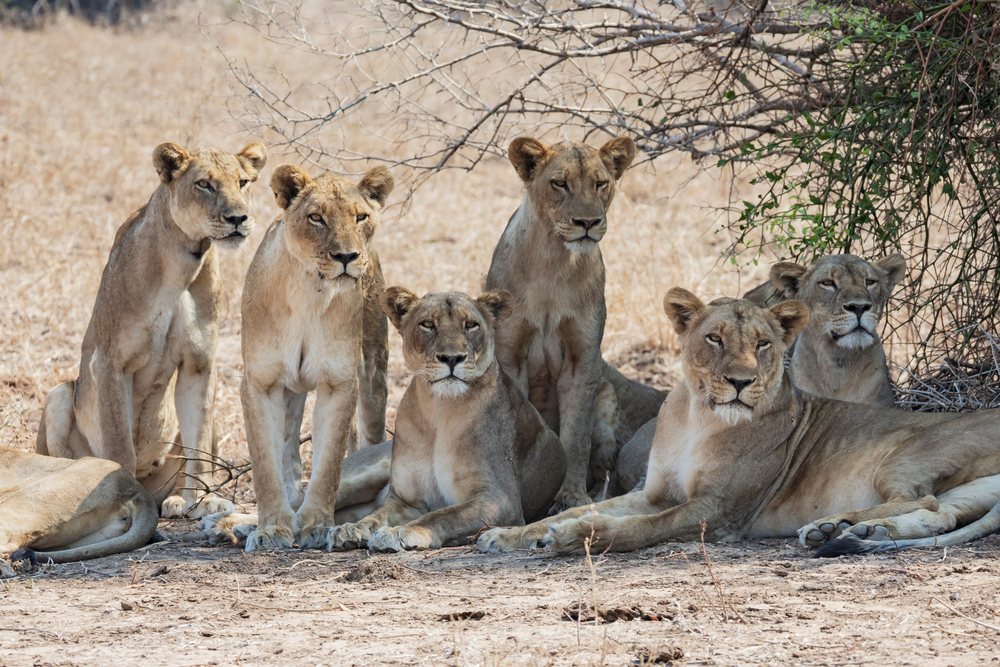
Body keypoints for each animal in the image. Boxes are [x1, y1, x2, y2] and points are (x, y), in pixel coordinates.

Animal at [36, 141, 267, 518]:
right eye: (205, 184)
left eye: (244, 182)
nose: (238, 218)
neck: (183, 260)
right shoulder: (110, 362)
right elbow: (119, 446)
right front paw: (122, 498)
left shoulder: (199, 364)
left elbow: (198, 442)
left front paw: (200, 501)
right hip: (58, 395)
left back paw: (174, 501)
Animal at [238, 163, 392, 551]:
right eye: (316, 218)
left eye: (360, 217)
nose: (347, 258)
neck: (311, 290)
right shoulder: (260, 383)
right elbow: (265, 463)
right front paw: (272, 528)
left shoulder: (339, 382)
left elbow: (328, 464)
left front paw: (316, 526)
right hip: (289, 390)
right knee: (288, 450)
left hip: (374, 371)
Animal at [323, 287, 566, 552]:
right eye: (428, 324)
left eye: (470, 325)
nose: (452, 358)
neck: (440, 410)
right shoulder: (406, 500)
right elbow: (377, 515)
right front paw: (352, 529)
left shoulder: (499, 498)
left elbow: (443, 516)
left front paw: (401, 532)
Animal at [477, 288, 1000, 556]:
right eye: (714, 339)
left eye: (764, 343)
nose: (741, 382)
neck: (698, 418)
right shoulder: (654, 492)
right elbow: (569, 511)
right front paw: (506, 536)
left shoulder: (718, 510)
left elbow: (637, 529)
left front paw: (570, 538)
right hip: (967, 489)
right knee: (940, 512)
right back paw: (849, 532)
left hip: (905, 456)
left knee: (923, 499)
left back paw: (833, 525)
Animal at [485, 135, 665, 512]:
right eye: (560, 183)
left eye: (600, 183)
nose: (588, 222)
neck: (554, 262)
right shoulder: (510, 354)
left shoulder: (583, 357)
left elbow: (576, 436)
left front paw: (570, 496)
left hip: (607, 395)